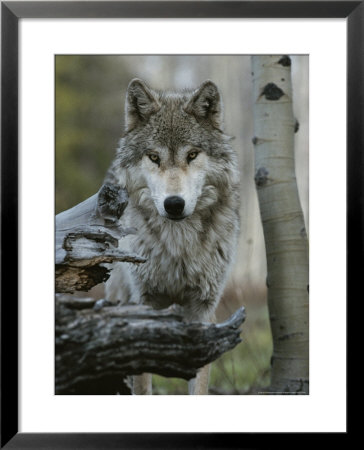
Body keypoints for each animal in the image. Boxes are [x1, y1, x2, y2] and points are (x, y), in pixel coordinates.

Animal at [104, 78, 239, 394]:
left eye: (192, 155)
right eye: (154, 157)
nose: (174, 204)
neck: (179, 246)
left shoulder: (201, 309)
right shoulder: (145, 304)